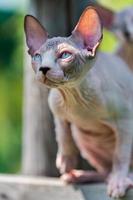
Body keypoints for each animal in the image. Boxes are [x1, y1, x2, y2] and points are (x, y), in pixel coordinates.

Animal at [24, 6, 133, 198]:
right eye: (37, 57)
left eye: (65, 55)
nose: (43, 69)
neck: (74, 98)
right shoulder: (57, 111)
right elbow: (62, 134)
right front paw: (66, 161)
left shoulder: (126, 117)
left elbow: (121, 155)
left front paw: (119, 181)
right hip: (83, 137)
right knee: (105, 171)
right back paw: (81, 176)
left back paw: (124, 178)